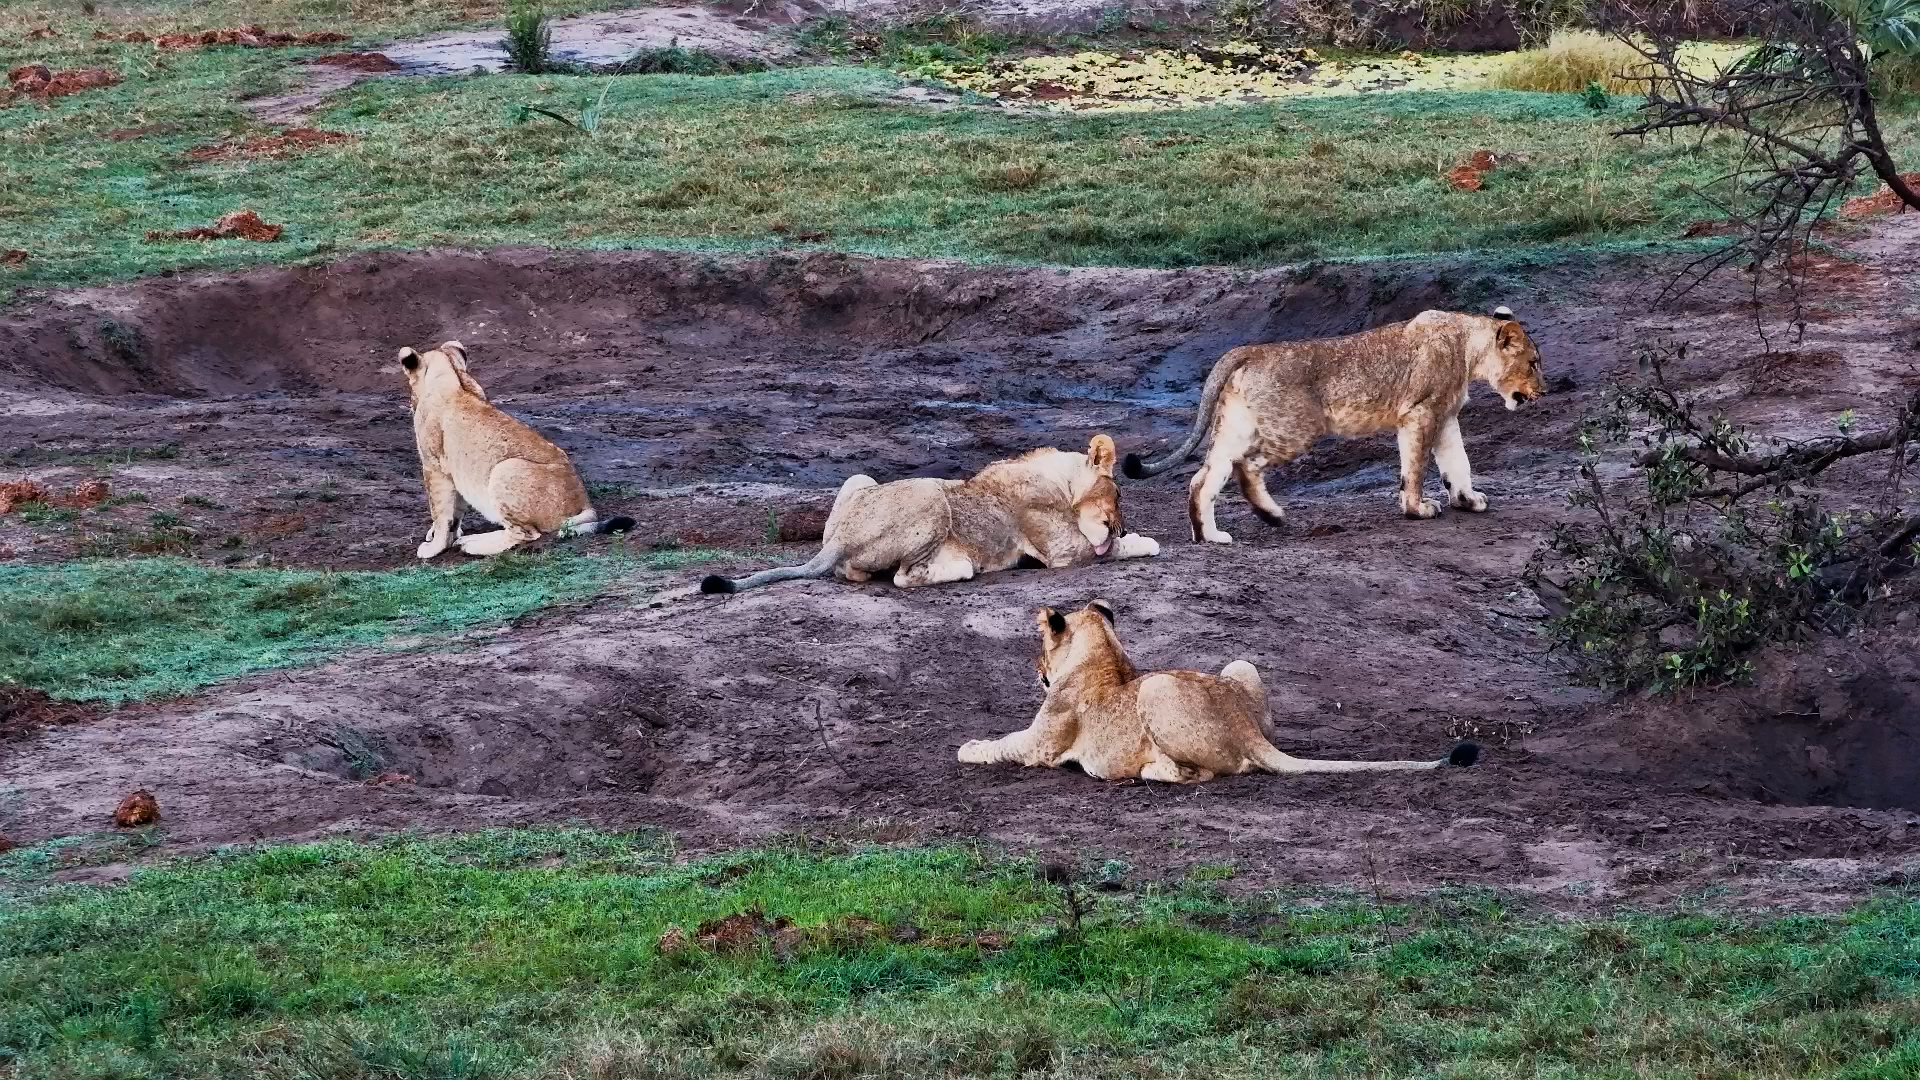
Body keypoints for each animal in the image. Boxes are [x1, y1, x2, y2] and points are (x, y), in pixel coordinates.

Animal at [400, 341, 633, 558]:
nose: (409, 404)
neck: (455, 376)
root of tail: (584, 503)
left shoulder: (434, 468)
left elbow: (440, 513)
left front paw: (434, 547)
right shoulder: (455, 473)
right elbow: (455, 513)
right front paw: (448, 535)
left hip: (505, 468)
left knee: (526, 534)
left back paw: (472, 545)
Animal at [699, 434, 1160, 593]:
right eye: (1119, 493)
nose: (1121, 525)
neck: (1060, 480)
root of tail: (839, 538)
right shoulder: (1065, 550)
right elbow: (1113, 550)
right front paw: (1141, 541)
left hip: (859, 479)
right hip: (931, 495)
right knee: (905, 578)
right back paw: (962, 566)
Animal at [958, 600, 1480, 783]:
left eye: (1040, 648)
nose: (1036, 669)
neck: (1103, 651)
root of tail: (1244, 727)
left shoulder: (1040, 745)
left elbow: (1000, 744)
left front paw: (967, 746)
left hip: (1158, 690)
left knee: (1206, 773)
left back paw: (1154, 771)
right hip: (1240, 663)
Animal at [1121, 307, 1547, 543]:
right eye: (1533, 363)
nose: (1543, 390)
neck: (1467, 346)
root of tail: (1251, 349)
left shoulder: (1444, 417)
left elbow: (1458, 463)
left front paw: (1468, 500)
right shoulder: (1420, 413)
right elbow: (1415, 468)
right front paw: (1417, 508)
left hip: (1236, 426)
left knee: (1203, 479)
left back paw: (1210, 536)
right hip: (1297, 427)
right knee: (1247, 466)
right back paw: (1272, 516)